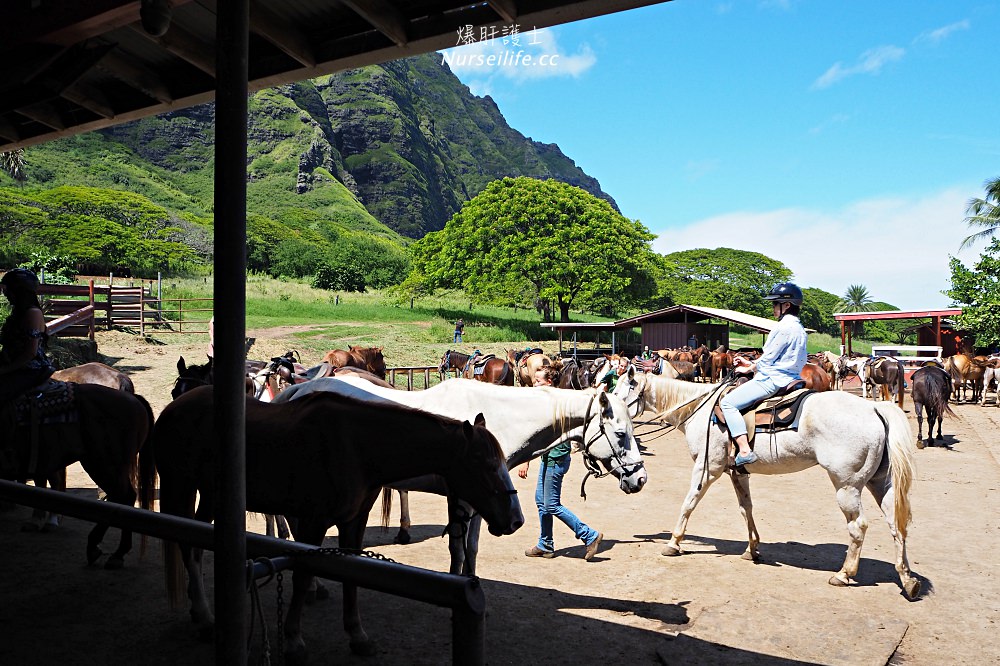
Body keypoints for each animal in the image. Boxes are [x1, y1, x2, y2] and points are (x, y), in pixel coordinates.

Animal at [146, 384, 528, 660]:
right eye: (484, 463)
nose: (515, 520)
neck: (358, 447)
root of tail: (173, 408)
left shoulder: (352, 522)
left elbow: (352, 575)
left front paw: (357, 636)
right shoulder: (313, 522)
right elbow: (302, 577)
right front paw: (294, 639)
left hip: (211, 495)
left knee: (195, 547)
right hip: (181, 487)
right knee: (187, 548)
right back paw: (205, 617)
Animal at [274, 376, 648, 572]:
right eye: (620, 434)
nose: (640, 479)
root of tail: (298, 390)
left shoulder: (487, 503)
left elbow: (473, 549)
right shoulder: (464, 501)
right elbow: (458, 549)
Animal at [616, 374, 920, 596]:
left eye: (617, 395)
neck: (700, 412)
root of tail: (873, 407)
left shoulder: (707, 468)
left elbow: (688, 503)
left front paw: (674, 543)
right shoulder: (737, 473)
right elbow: (746, 508)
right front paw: (752, 549)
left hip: (847, 486)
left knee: (858, 527)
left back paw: (844, 574)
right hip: (879, 483)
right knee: (896, 524)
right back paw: (907, 580)